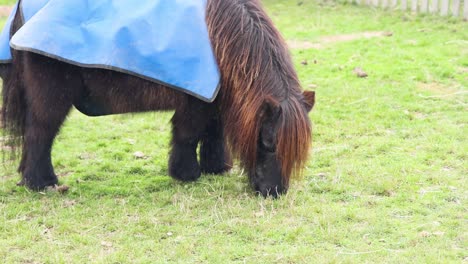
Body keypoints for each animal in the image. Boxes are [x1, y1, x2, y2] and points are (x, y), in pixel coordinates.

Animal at [0, 0, 314, 197]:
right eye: (267, 143)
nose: (274, 192)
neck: (224, 34)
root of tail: (21, 12)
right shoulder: (194, 101)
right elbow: (187, 134)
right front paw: (186, 173)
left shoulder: (214, 97)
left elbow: (214, 133)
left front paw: (215, 168)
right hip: (51, 97)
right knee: (40, 133)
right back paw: (42, 183)